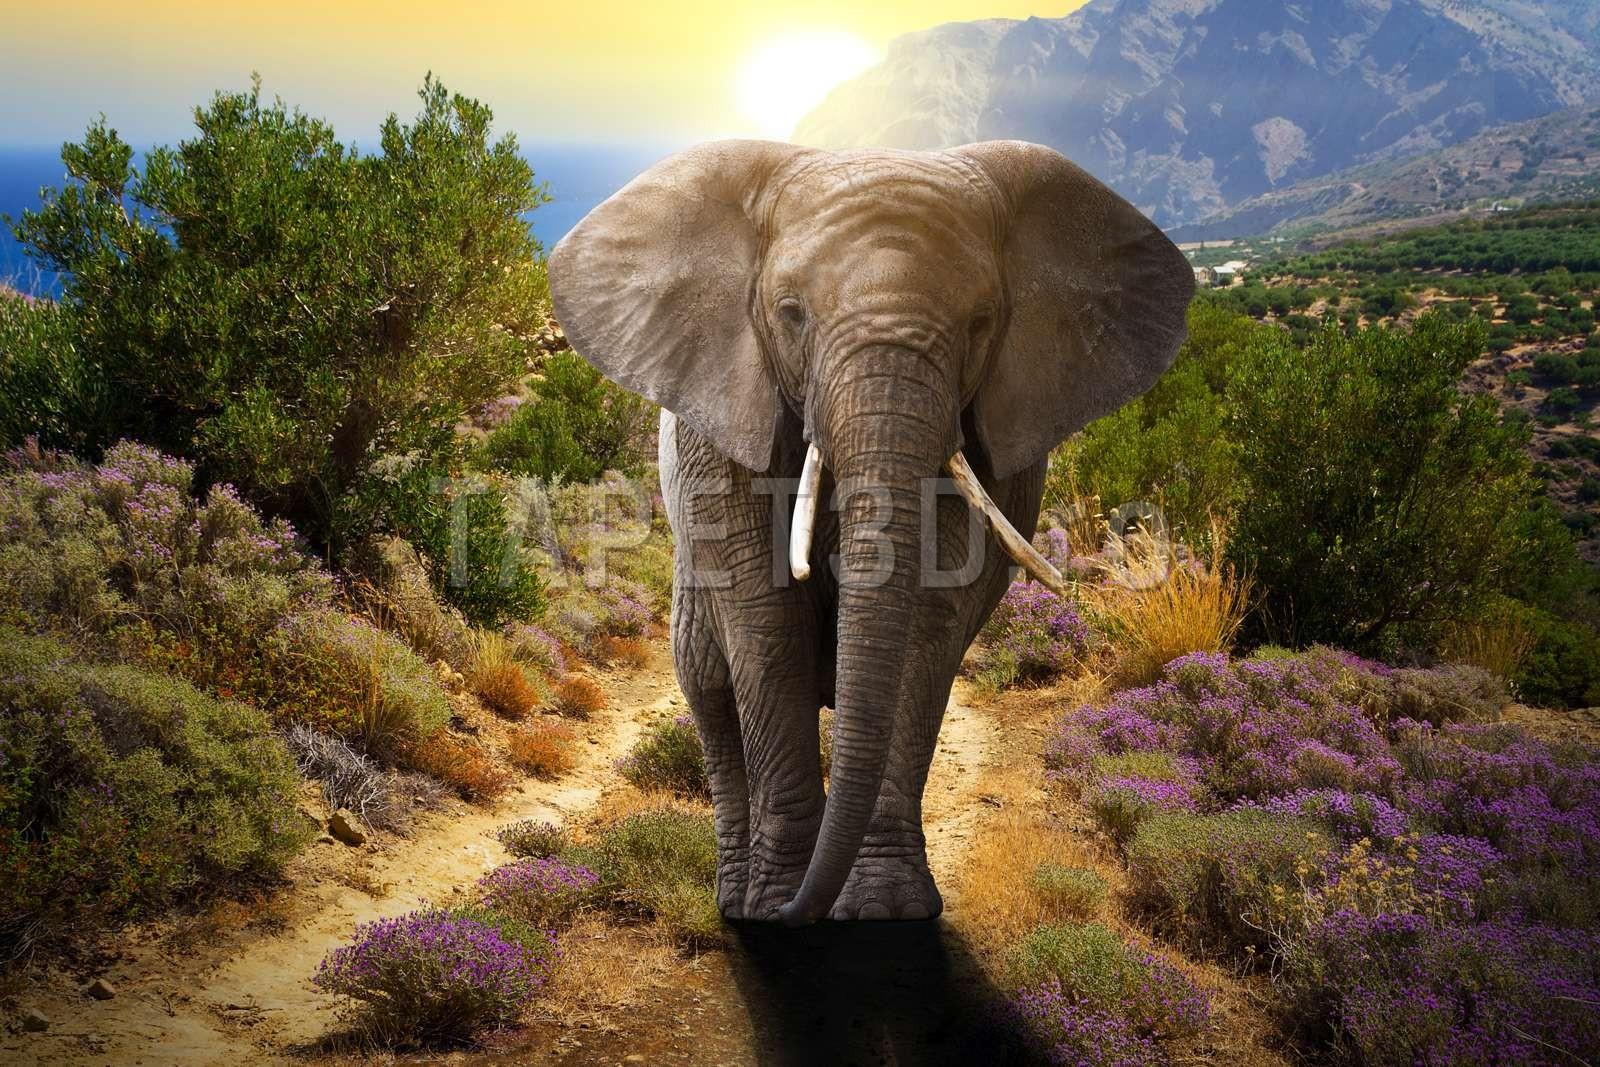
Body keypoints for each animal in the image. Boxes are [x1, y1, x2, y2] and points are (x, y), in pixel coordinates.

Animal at [548, 140, 1193, 924]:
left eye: (982, 323)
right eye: (791, 313)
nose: (798, 912)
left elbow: (927, 620)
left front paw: (885, 909)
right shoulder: (724, 422)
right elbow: (766, 624)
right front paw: (776, 906)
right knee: (709, 685)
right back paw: (737, 900)